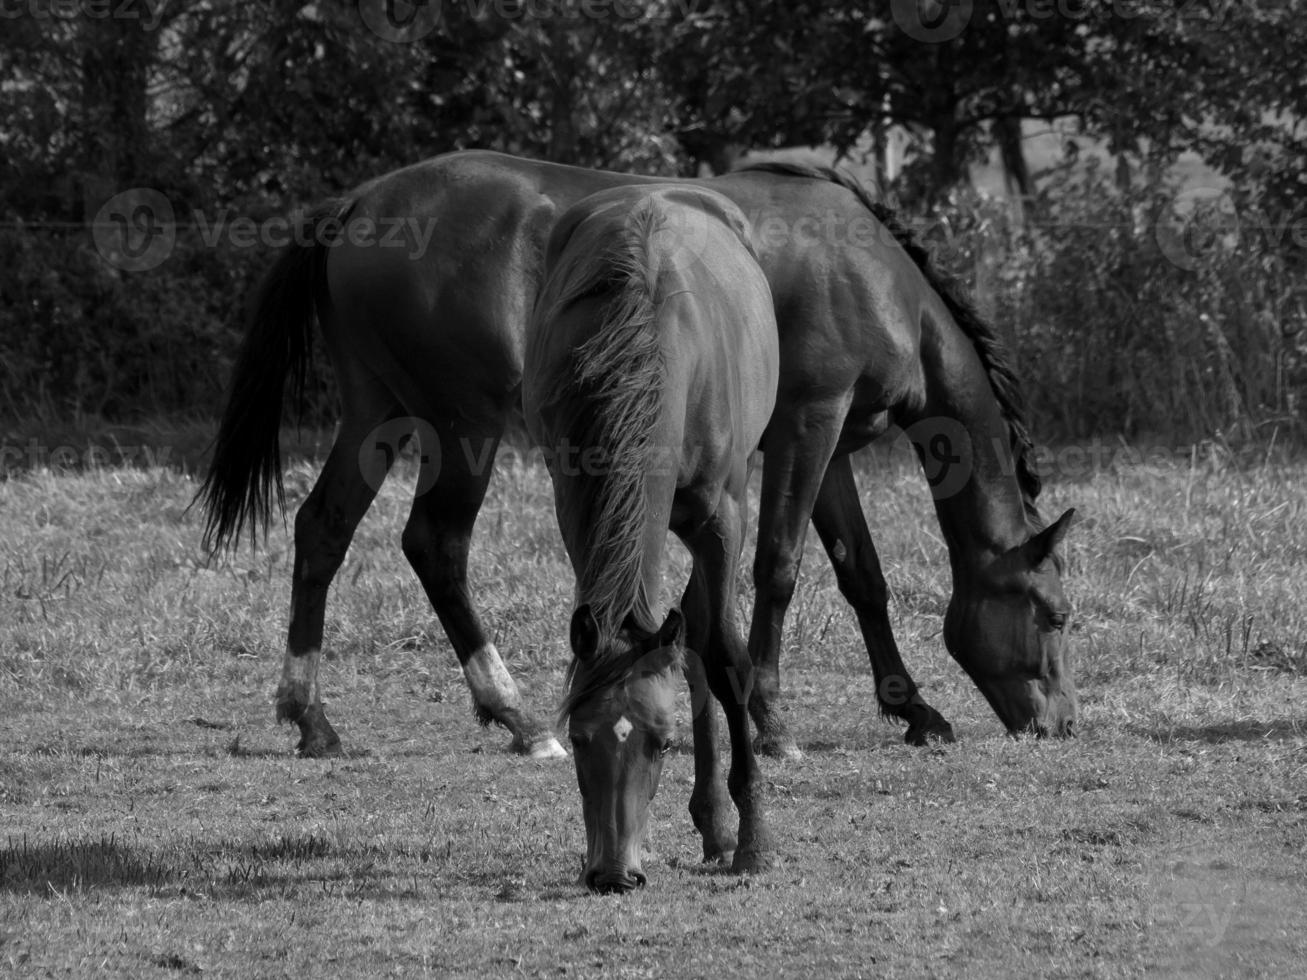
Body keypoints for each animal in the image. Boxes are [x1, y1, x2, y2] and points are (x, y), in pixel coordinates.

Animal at [198, 149, 1076, 768]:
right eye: (1053, 613)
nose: (1062, 724)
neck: (871, 273)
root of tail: (360, 205)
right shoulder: (810, 425)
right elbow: (780, 567)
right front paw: (771, 719)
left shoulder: (830, 447)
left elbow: (861, 575)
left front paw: (913, 709)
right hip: (459, 426)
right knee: (435, 545)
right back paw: (518, 718)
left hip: (377, 413)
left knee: (323, 530)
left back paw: (312, 718)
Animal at [525, 182, 778, 888]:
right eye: (579, 739)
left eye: (662, 743)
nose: (615, 874)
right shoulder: (575, 507)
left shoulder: (722, 519)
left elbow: (725, 657)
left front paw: (754, 840)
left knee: (702, 635)